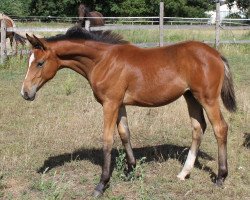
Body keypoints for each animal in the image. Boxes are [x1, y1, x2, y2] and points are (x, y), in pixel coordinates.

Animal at [21, 26, 236, 197]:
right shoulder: (120, 104)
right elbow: (125, 133)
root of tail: (216, 55)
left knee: (220, 128)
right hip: (190, 96)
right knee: (198, 128)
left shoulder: (110, 103)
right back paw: (184, 173)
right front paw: (131, 170)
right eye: (29, 62)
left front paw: (102, 184)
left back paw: (220, 177)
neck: (103, 61)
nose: (25, 93)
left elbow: (108, 139)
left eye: (40, 63)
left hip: (207, 98)